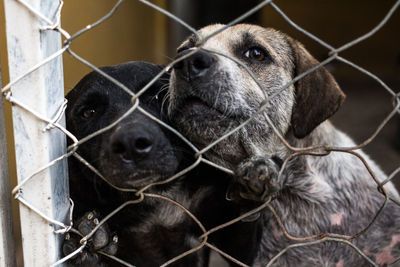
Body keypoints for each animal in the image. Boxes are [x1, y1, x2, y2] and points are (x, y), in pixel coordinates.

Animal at [63, 61, 260, 266]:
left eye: (157, 95)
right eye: (88, 112)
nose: (131, 143)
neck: (157, 197)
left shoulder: (243, 251)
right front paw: (83, 244)